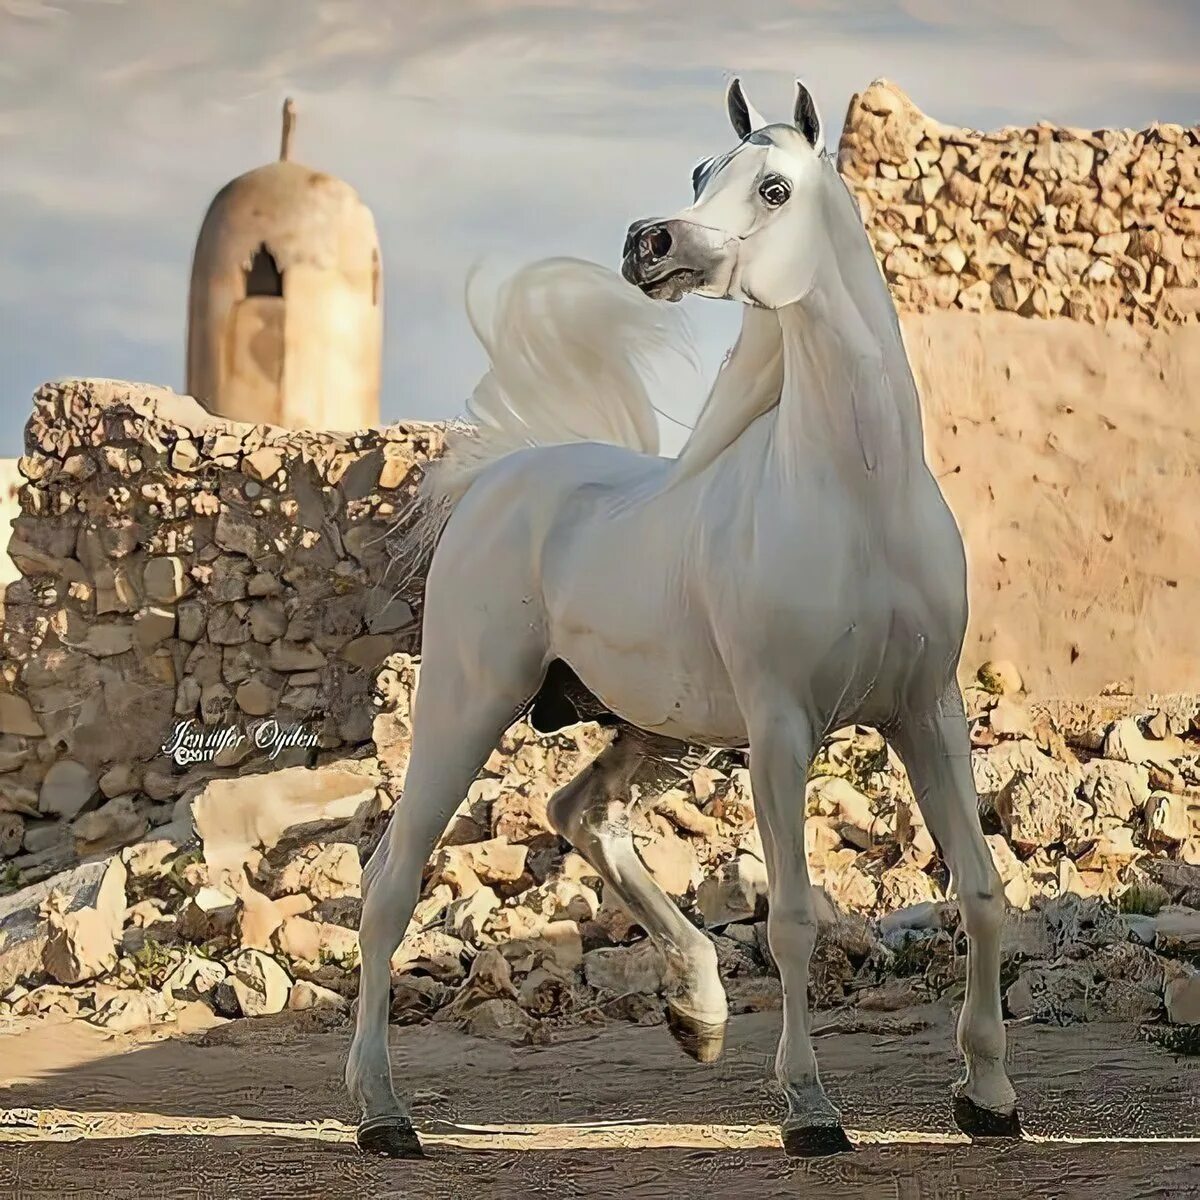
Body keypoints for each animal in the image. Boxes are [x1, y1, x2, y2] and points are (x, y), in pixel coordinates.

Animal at [348, 79, 1022, 1156]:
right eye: (702, 171)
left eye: (774, 186)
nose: (648, 244)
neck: (856, 497)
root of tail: (500, 479)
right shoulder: (784, 726)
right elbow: (792, 917)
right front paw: (809, 1110)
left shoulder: (928, 712)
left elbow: (985, 892)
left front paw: (990, 1097)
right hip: (466, 706)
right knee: (389, 889)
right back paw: (382, 1114)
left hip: (650, 727)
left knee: (581, 816)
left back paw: (695, 1011)